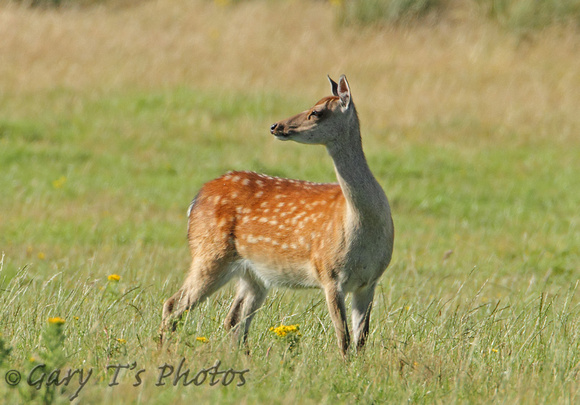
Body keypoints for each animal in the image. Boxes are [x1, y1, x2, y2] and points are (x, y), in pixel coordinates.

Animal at [161, 75, 392, 354]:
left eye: (316, 111)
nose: (276, 126)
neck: (360, 225)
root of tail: (196, 198)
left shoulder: (370, 281)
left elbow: (361, 340)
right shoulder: (329, 274)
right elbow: (344, 339)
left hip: (253, 274)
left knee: (233, 320)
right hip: (209, 253)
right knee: (173, 305)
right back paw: (162, 350)